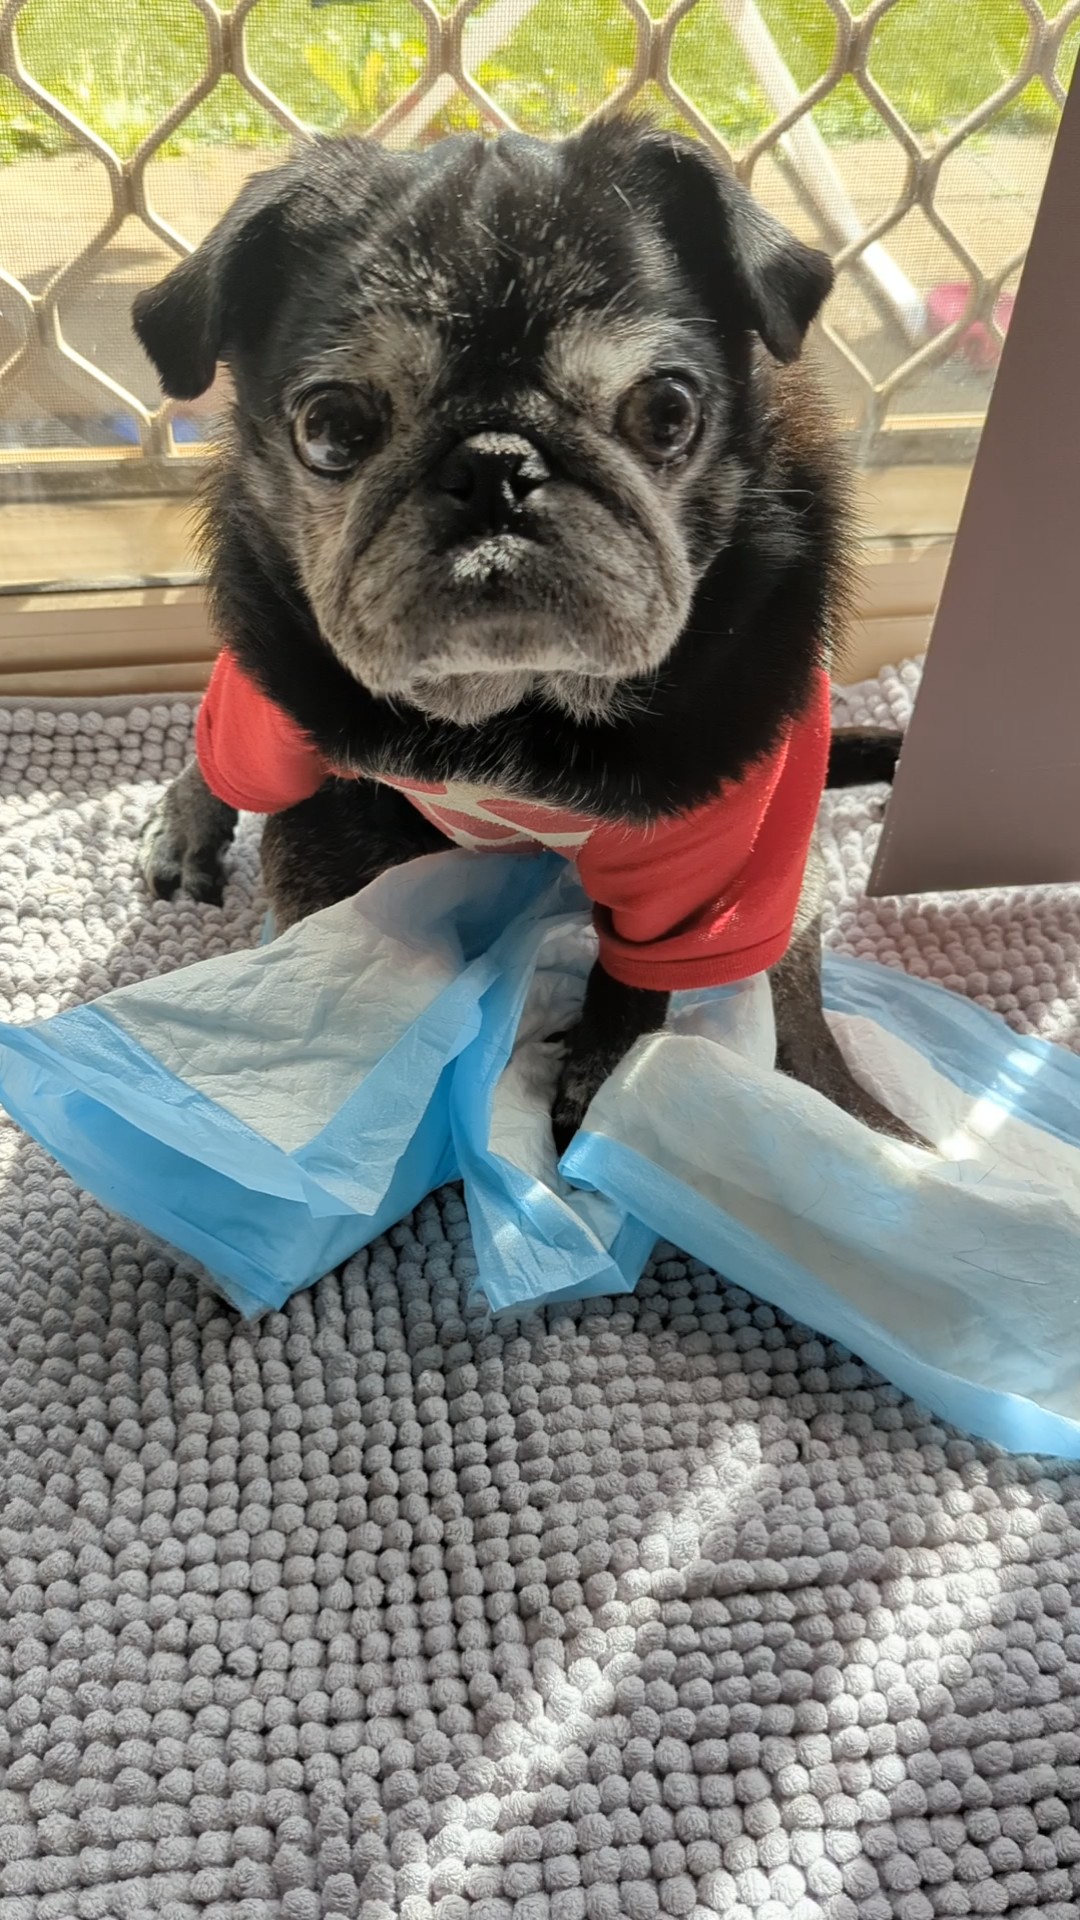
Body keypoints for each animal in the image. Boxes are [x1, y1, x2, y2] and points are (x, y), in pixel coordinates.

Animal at [135, 118, 906, 1153]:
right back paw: (191, 823)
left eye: (666, 412)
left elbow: (635, 990)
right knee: (226, 754)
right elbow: (330, 920)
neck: (514, 712)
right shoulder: (324, 796)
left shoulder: (710, 863)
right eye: (330, 428)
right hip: (269, 721)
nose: (496, 466)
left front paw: (603, 1094)